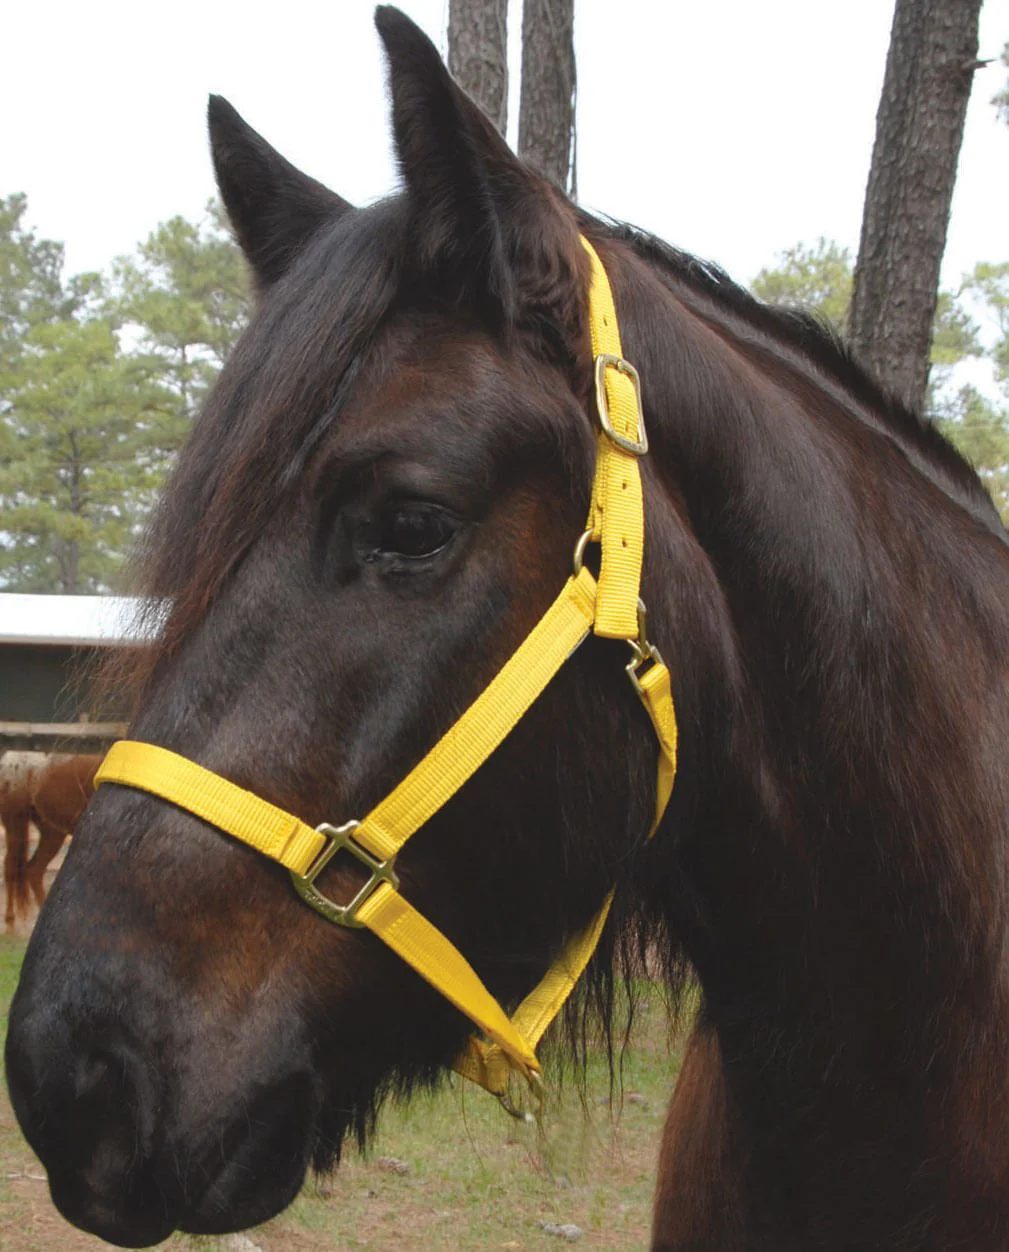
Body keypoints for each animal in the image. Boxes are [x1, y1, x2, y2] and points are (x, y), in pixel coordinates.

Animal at [0, 753, 99, 929]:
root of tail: (9, 759)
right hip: (17, 823)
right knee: (12, 867)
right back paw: (11, 923)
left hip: (50, 832)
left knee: (33, 870)